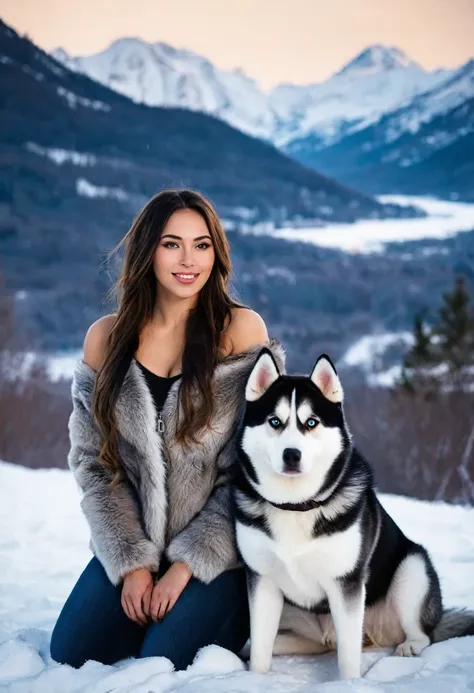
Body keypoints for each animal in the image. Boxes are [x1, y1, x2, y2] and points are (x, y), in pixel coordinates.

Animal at [234, 348, 474, 680]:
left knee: (422, 631)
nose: (291, 454)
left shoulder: (346, 582)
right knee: (257, 643)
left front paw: (348, 684)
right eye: (274, 421)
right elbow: (259, 647)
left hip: (411, 570)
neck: (297, 505)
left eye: (311, 422)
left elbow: (349, 656)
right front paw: (255, 679)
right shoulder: (262, 579)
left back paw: (410, 645)